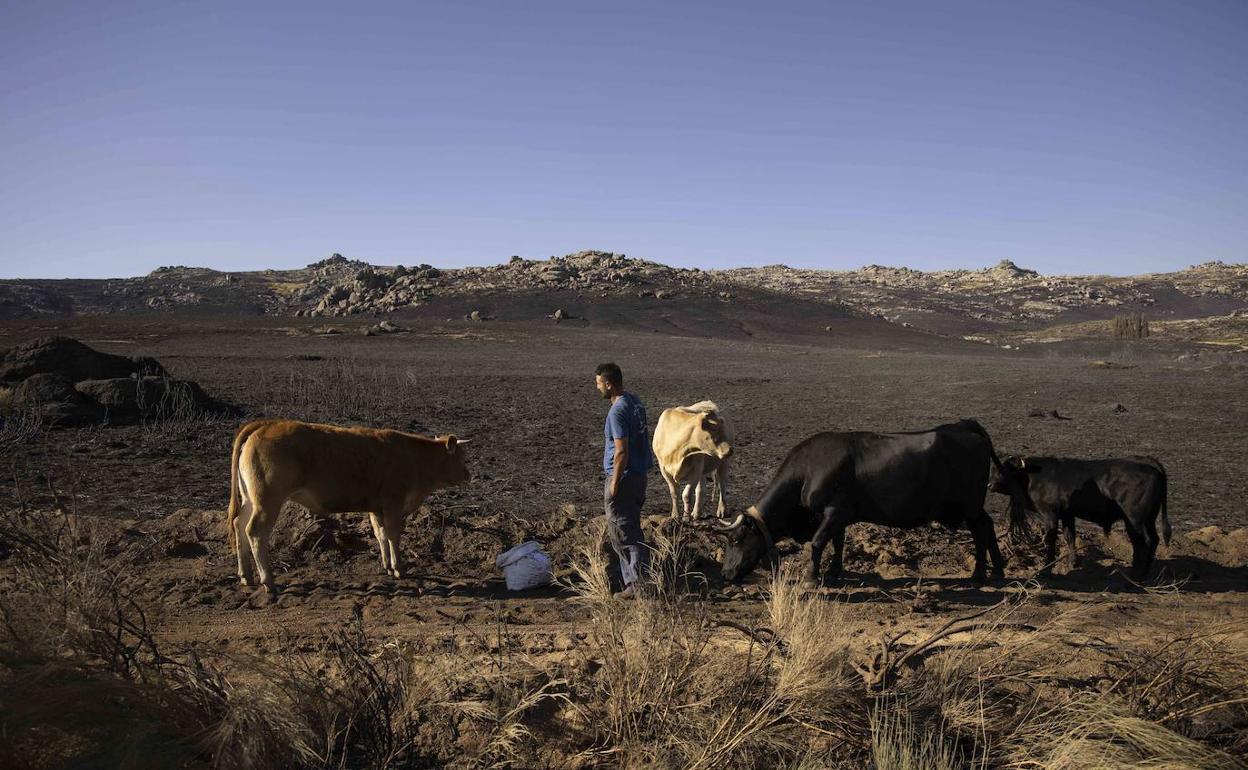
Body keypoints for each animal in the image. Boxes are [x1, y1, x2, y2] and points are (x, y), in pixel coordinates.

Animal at [227, 419, 469, 589]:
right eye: (461, 458)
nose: (468, 474)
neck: (414, 458)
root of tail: (267, 424)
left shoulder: (376, 508)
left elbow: (381, 535)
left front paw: (387, 566)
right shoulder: (393, 505)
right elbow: (393, 536)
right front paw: (399, 568)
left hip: (250, 500)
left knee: (239, 525)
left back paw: (246, 576)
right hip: (267, 501)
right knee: (255, 532)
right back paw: (268, 580)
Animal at [718, 419, 1008, 581]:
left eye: (735, 540)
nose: (725, 574)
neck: (808, 470)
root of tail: (965, 427)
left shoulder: (835, 511)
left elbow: (818, 542)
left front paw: (812, 577)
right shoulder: (838, 516)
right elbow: (837, 542)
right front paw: (834, 572)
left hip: (969, 507)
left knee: (981, 531)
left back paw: (979, 574)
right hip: (972, 508)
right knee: (988, 526)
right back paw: (996, 570)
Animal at [988, 454, 1173, 579]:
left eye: (1005, 468)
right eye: (992, 468)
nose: (990, 485)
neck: (1034, 476)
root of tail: (1152, 466)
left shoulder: (1050, 514)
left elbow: (1051, 539)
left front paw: (1047, 567)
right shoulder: (1067, 514)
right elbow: (1070, 536)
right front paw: (1073, 562)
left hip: (1135, 520)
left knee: (1143, 543)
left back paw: (1136, 577)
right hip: (1148, 519)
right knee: (1151, 540)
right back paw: (1141, 574)